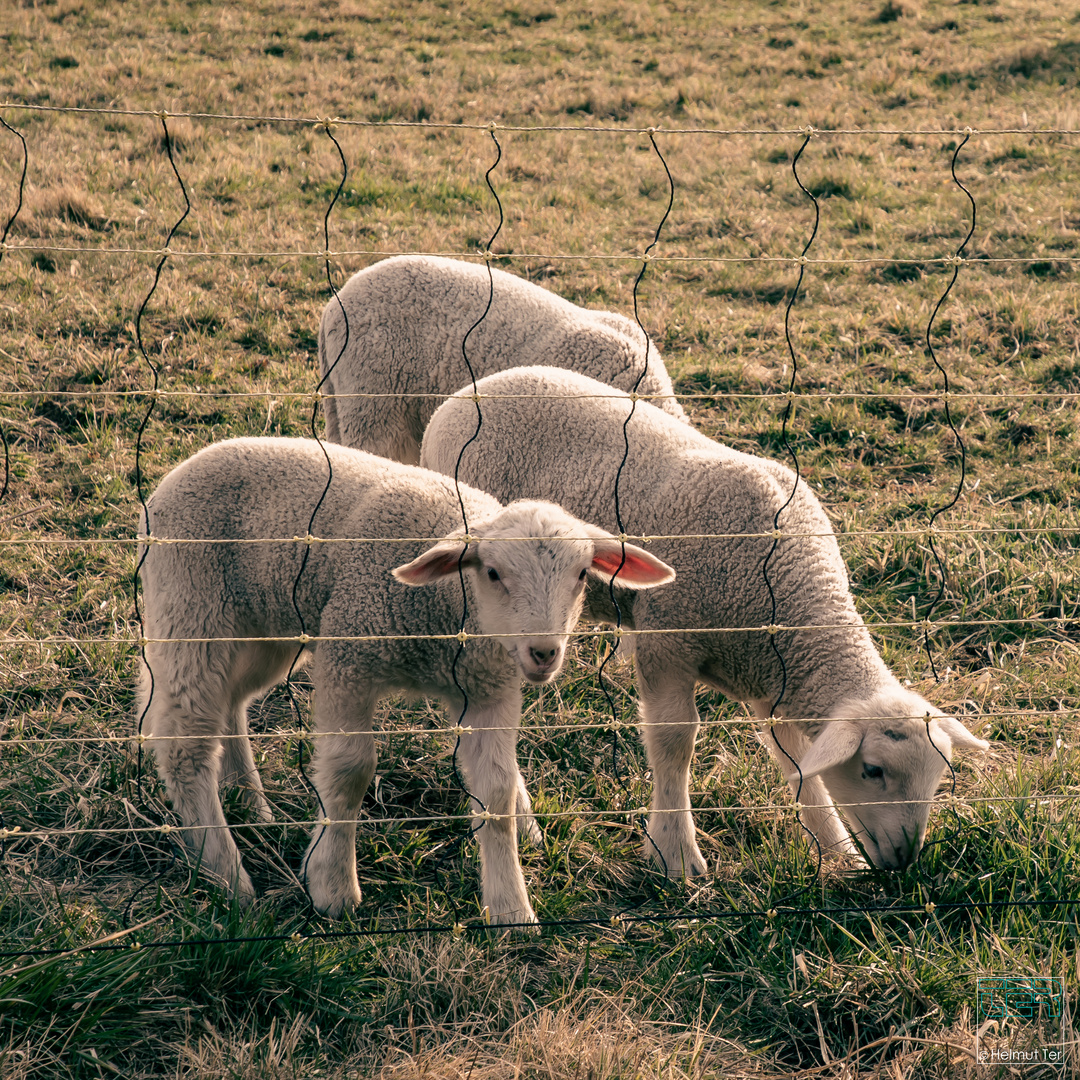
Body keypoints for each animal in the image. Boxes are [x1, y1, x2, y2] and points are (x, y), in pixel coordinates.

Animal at [137, 434, 673, 924]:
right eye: (493, 573)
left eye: (582, 574)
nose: (543, 652)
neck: (447, 611)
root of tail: (180, 472)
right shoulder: (349, 655)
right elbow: (350, 770)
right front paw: (332, 886)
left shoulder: (488, 687)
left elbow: (497, 791)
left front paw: (510, 909)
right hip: (192, 608)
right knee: (185, 743)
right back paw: (227, 875)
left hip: (263, 627)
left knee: (230, 703)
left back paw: (251, 804)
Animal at [416, 367, 989, 872]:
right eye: (873, 770)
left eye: (940, 776)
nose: (905, 860)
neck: (790, 589)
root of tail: (472, 391)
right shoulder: (668, 642)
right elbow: (675, 742)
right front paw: (675, 854)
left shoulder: (773, 672)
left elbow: (797, 760)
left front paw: (835, 850)